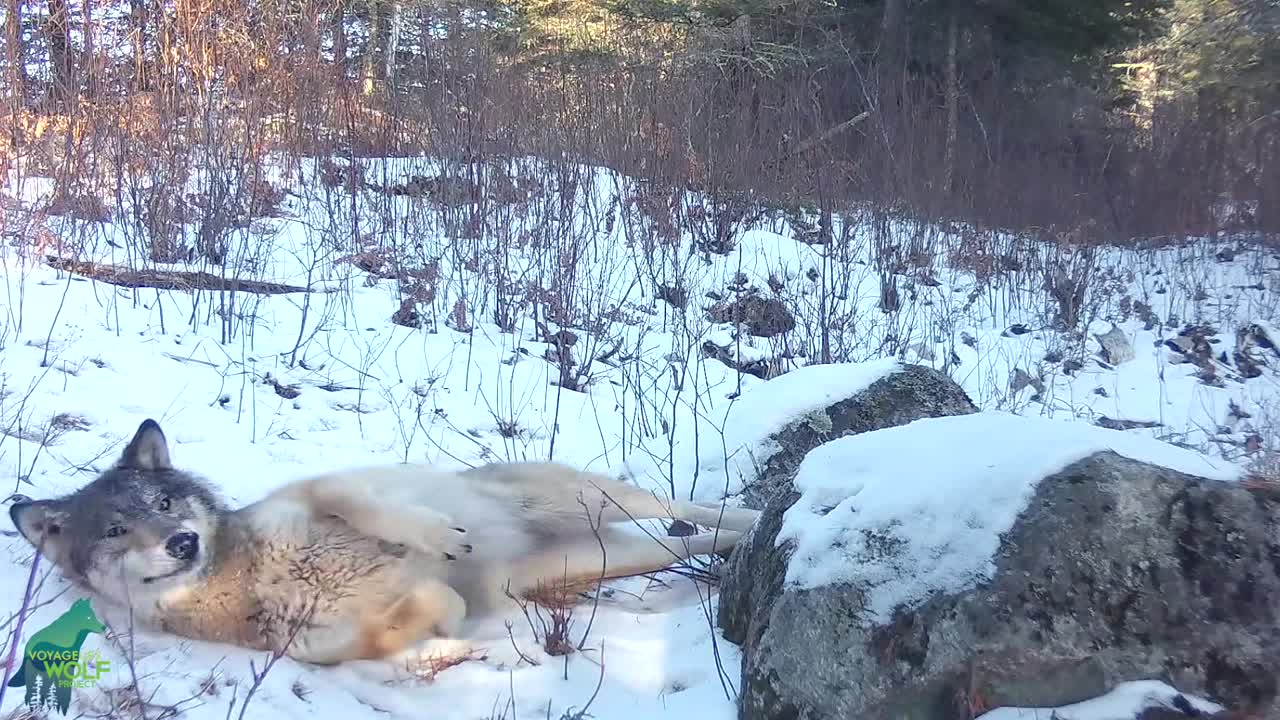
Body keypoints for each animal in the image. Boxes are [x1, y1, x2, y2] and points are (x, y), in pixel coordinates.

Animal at [8, 419, 760, 665]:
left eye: (164, 504)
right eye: (115, 530)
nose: (184, 543)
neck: (246, 574)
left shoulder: (322, 492)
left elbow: (365, 505)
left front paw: (438, 538)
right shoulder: (332, 648)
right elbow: (439, 609)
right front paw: (446, 620)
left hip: (591, 497)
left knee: (684, 506)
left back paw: (761, 517)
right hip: (599, 559)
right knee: (692, 540)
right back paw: (735, 549)